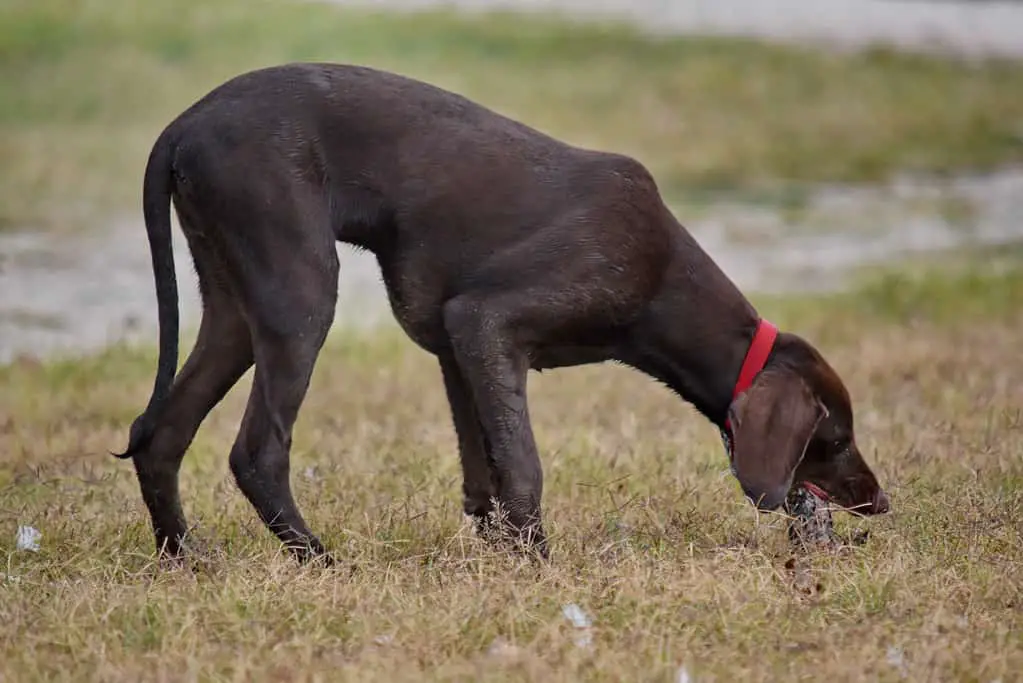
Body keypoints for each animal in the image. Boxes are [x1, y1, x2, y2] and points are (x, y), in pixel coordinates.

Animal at [116, 62, 892, 564]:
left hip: (234, 308)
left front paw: (502, 557)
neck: (660, 272)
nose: (878, 504)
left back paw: (186, 559)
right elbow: (521, 464)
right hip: (301, 292)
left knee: (160, 434)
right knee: (257, 451)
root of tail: (183, 126)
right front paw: (539, 565)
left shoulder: (456, 346)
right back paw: (319, 560)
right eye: (834, 438)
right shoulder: (486, 323)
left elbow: (482, 471)